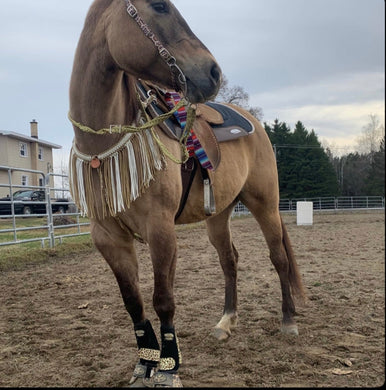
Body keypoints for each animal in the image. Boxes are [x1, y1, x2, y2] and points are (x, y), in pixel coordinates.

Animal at [68, 0, 304, 386]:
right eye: (160, 6)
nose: (213, 72)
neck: (103, 148)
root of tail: (252, 122)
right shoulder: (108, 237)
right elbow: (133, 301)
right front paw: (144, 363)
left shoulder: (161, 229)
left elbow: (163, 298)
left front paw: (167, 367)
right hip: (219, 216)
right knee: (229, 261)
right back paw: (226, 321)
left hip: (265, 204)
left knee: (278, 258)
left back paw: (288, 321)